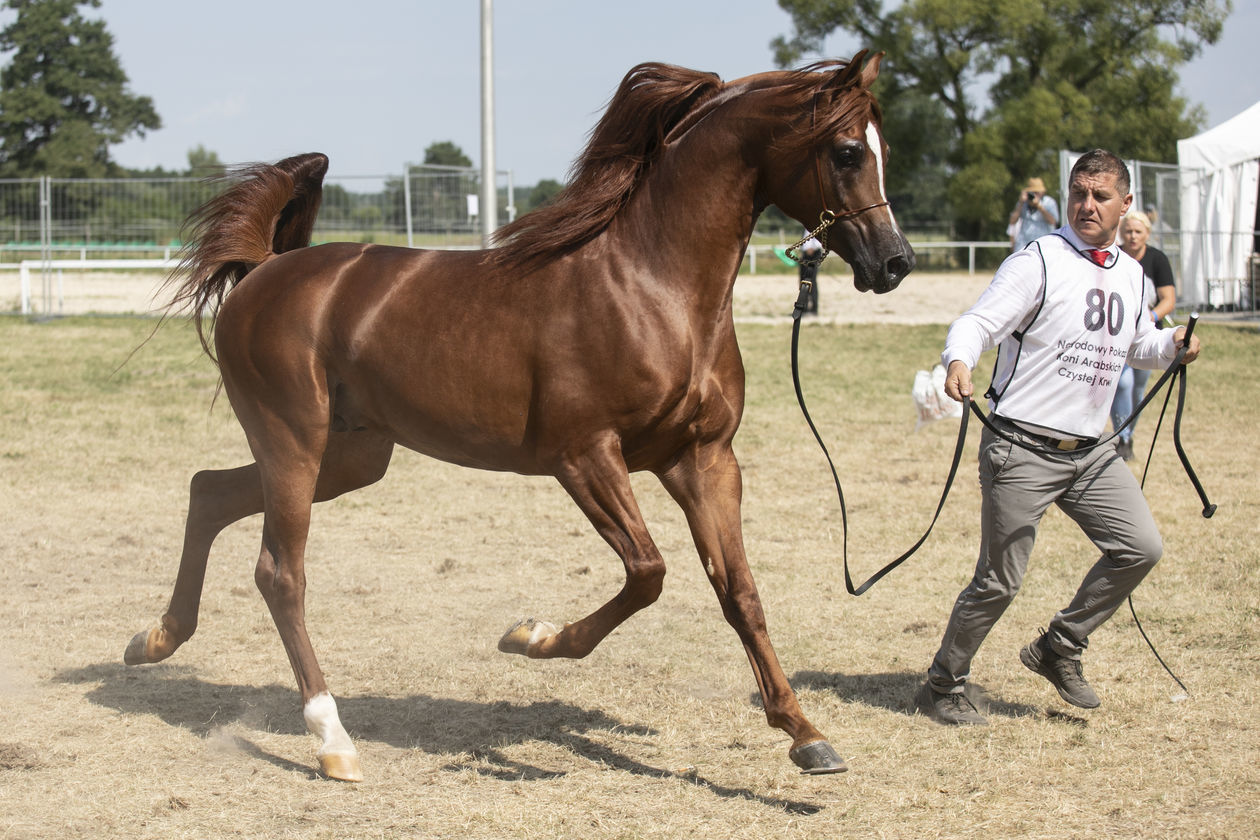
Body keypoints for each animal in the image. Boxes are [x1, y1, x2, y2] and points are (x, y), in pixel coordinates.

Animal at [127, 51, 912, 780]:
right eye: (847, 150)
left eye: (885, 147)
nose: (894, 263)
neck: (652, 288)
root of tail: (263, 271)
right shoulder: (585, 456)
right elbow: (648, 572)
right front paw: (531, 636)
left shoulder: (704, 460)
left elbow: (740, 592)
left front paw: (806, 736)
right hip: (294, 442)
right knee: (279, 573)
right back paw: (333, 741)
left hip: (350, 457)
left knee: (208, 491)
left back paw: (155, 640)